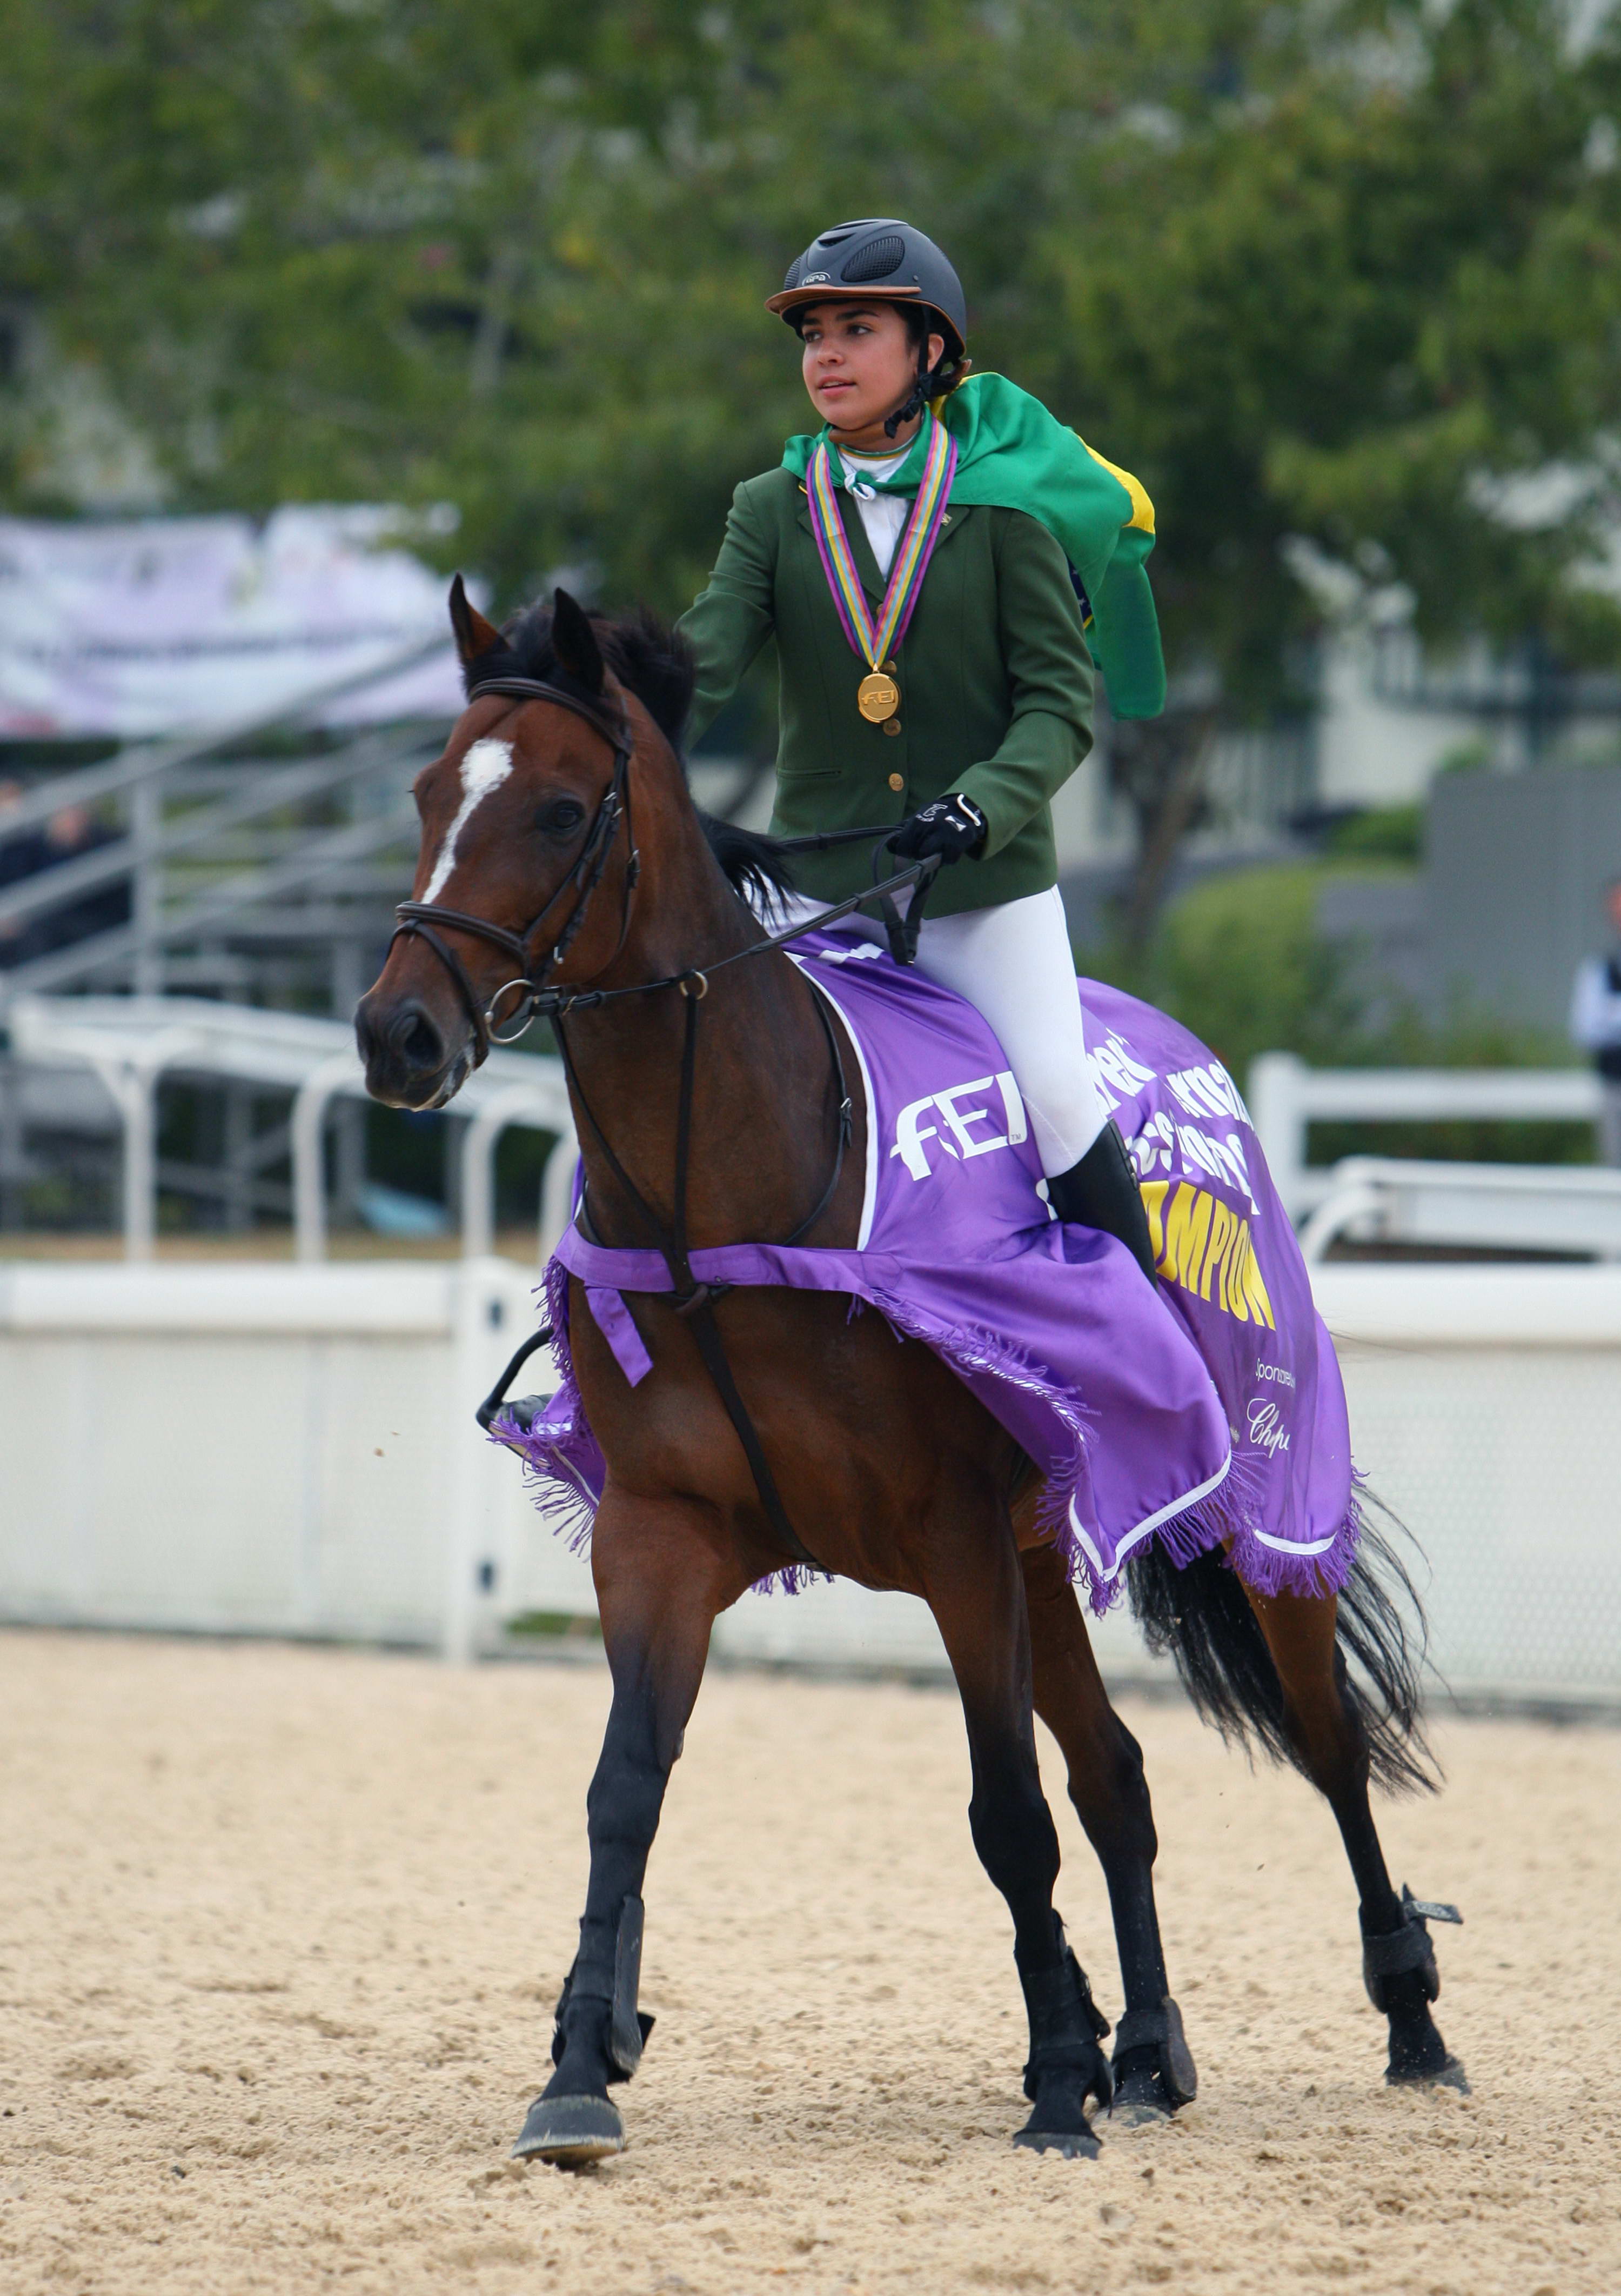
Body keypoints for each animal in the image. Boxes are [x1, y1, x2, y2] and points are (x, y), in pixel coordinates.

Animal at [355, 581, 1465, 2167]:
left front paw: (1053, 2077)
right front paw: (577, 2063)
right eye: (429, 793)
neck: (740, 1194)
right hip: (1048, 1552)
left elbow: (1006, 1815)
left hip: (1251, 1516)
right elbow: (623, 1792)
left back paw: (1406, 2020)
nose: (397, 1036)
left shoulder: (950, 1541)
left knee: (1326, 1744)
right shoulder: (659, 1535)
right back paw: (1148, 2048)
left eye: (563, 811)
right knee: (1117, 1776)